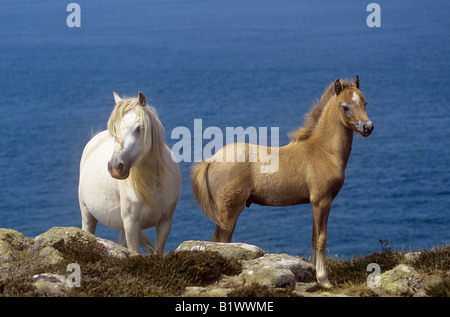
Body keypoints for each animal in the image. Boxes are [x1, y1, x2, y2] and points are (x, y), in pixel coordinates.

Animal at [78, 90, 181, 252]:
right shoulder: (131, 225)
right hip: (87, 215)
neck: (154, 183)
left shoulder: (165, 223)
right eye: (115, 129)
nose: (115, 167)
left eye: (139, 128)